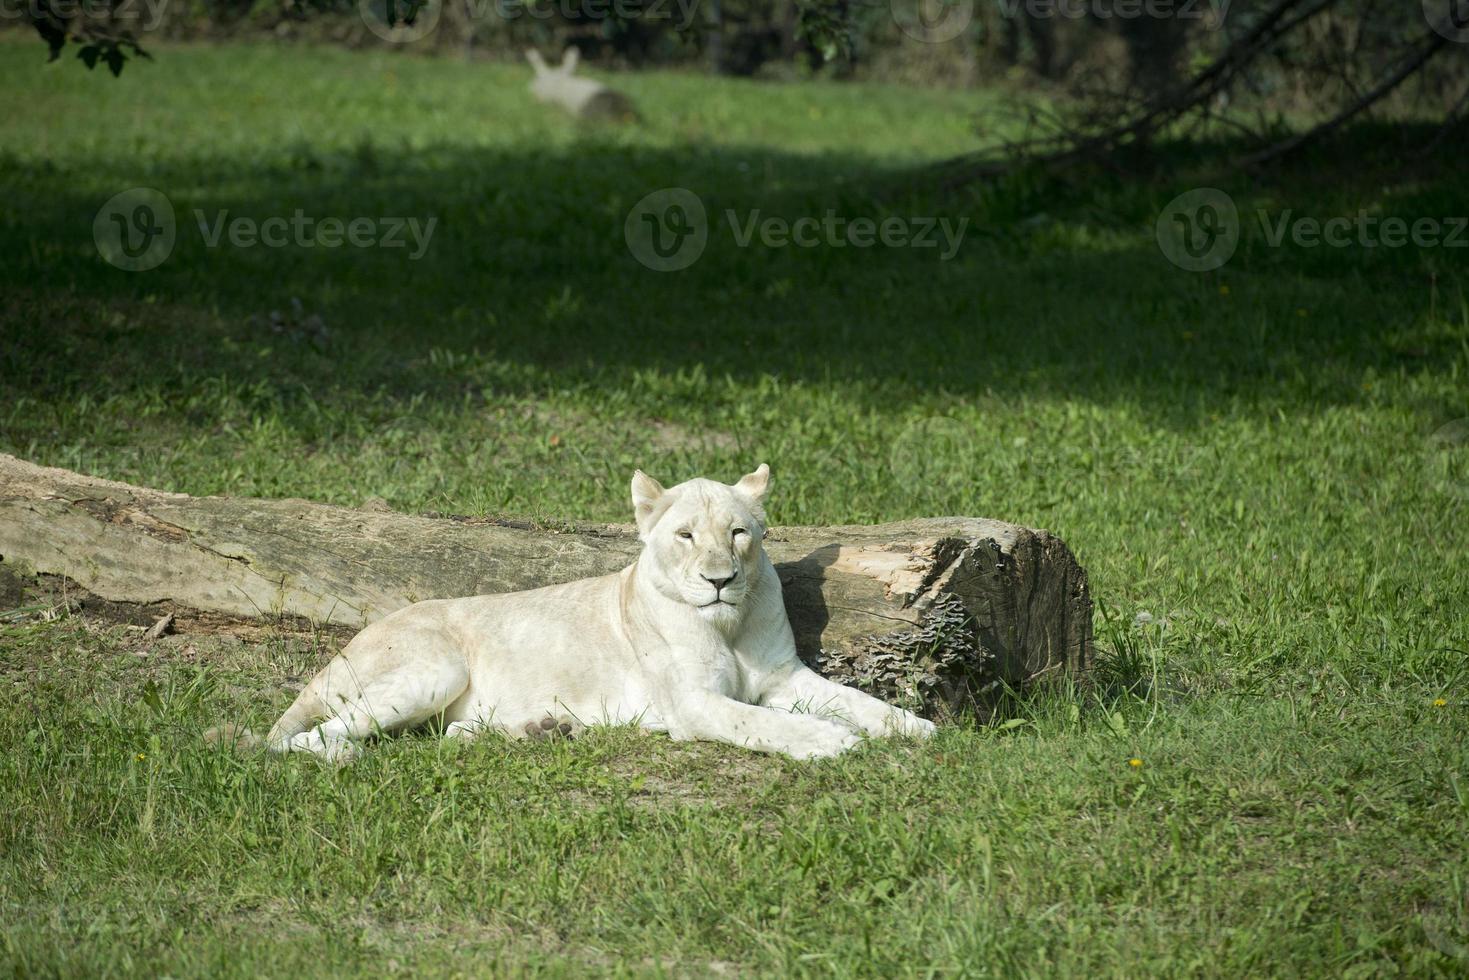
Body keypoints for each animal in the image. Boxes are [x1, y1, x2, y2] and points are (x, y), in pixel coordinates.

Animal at [235, 464, 934, 764]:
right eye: (685, 536)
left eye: (738, 533)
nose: (720, 581)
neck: (728, 625)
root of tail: (347, 646)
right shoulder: (693, 705)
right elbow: (759, 723)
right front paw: (829, 742)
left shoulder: (786, 678)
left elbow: (856, 700)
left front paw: (915, 727)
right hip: (433, 669)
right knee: (310, 736)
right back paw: (341, 758)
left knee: (441, 733)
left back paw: (538, 730)